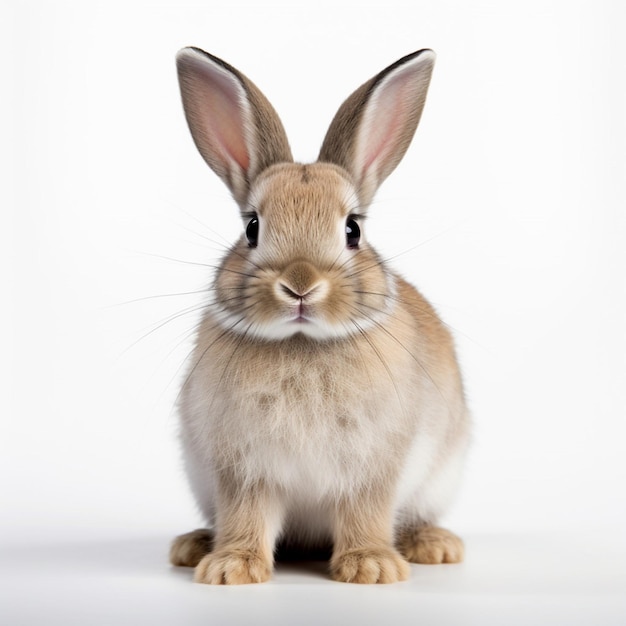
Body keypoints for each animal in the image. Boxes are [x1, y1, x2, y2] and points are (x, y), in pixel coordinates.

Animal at [168, 46, 470, 584]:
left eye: (353, 230)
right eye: (252, 227)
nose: (300, 285)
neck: (302, 344)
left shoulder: (372, 467)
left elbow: (365, 511)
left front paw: (371, 567)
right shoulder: (243, 469)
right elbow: (246, 514)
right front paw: (230, 568)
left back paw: (434, 545)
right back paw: (194, 545)